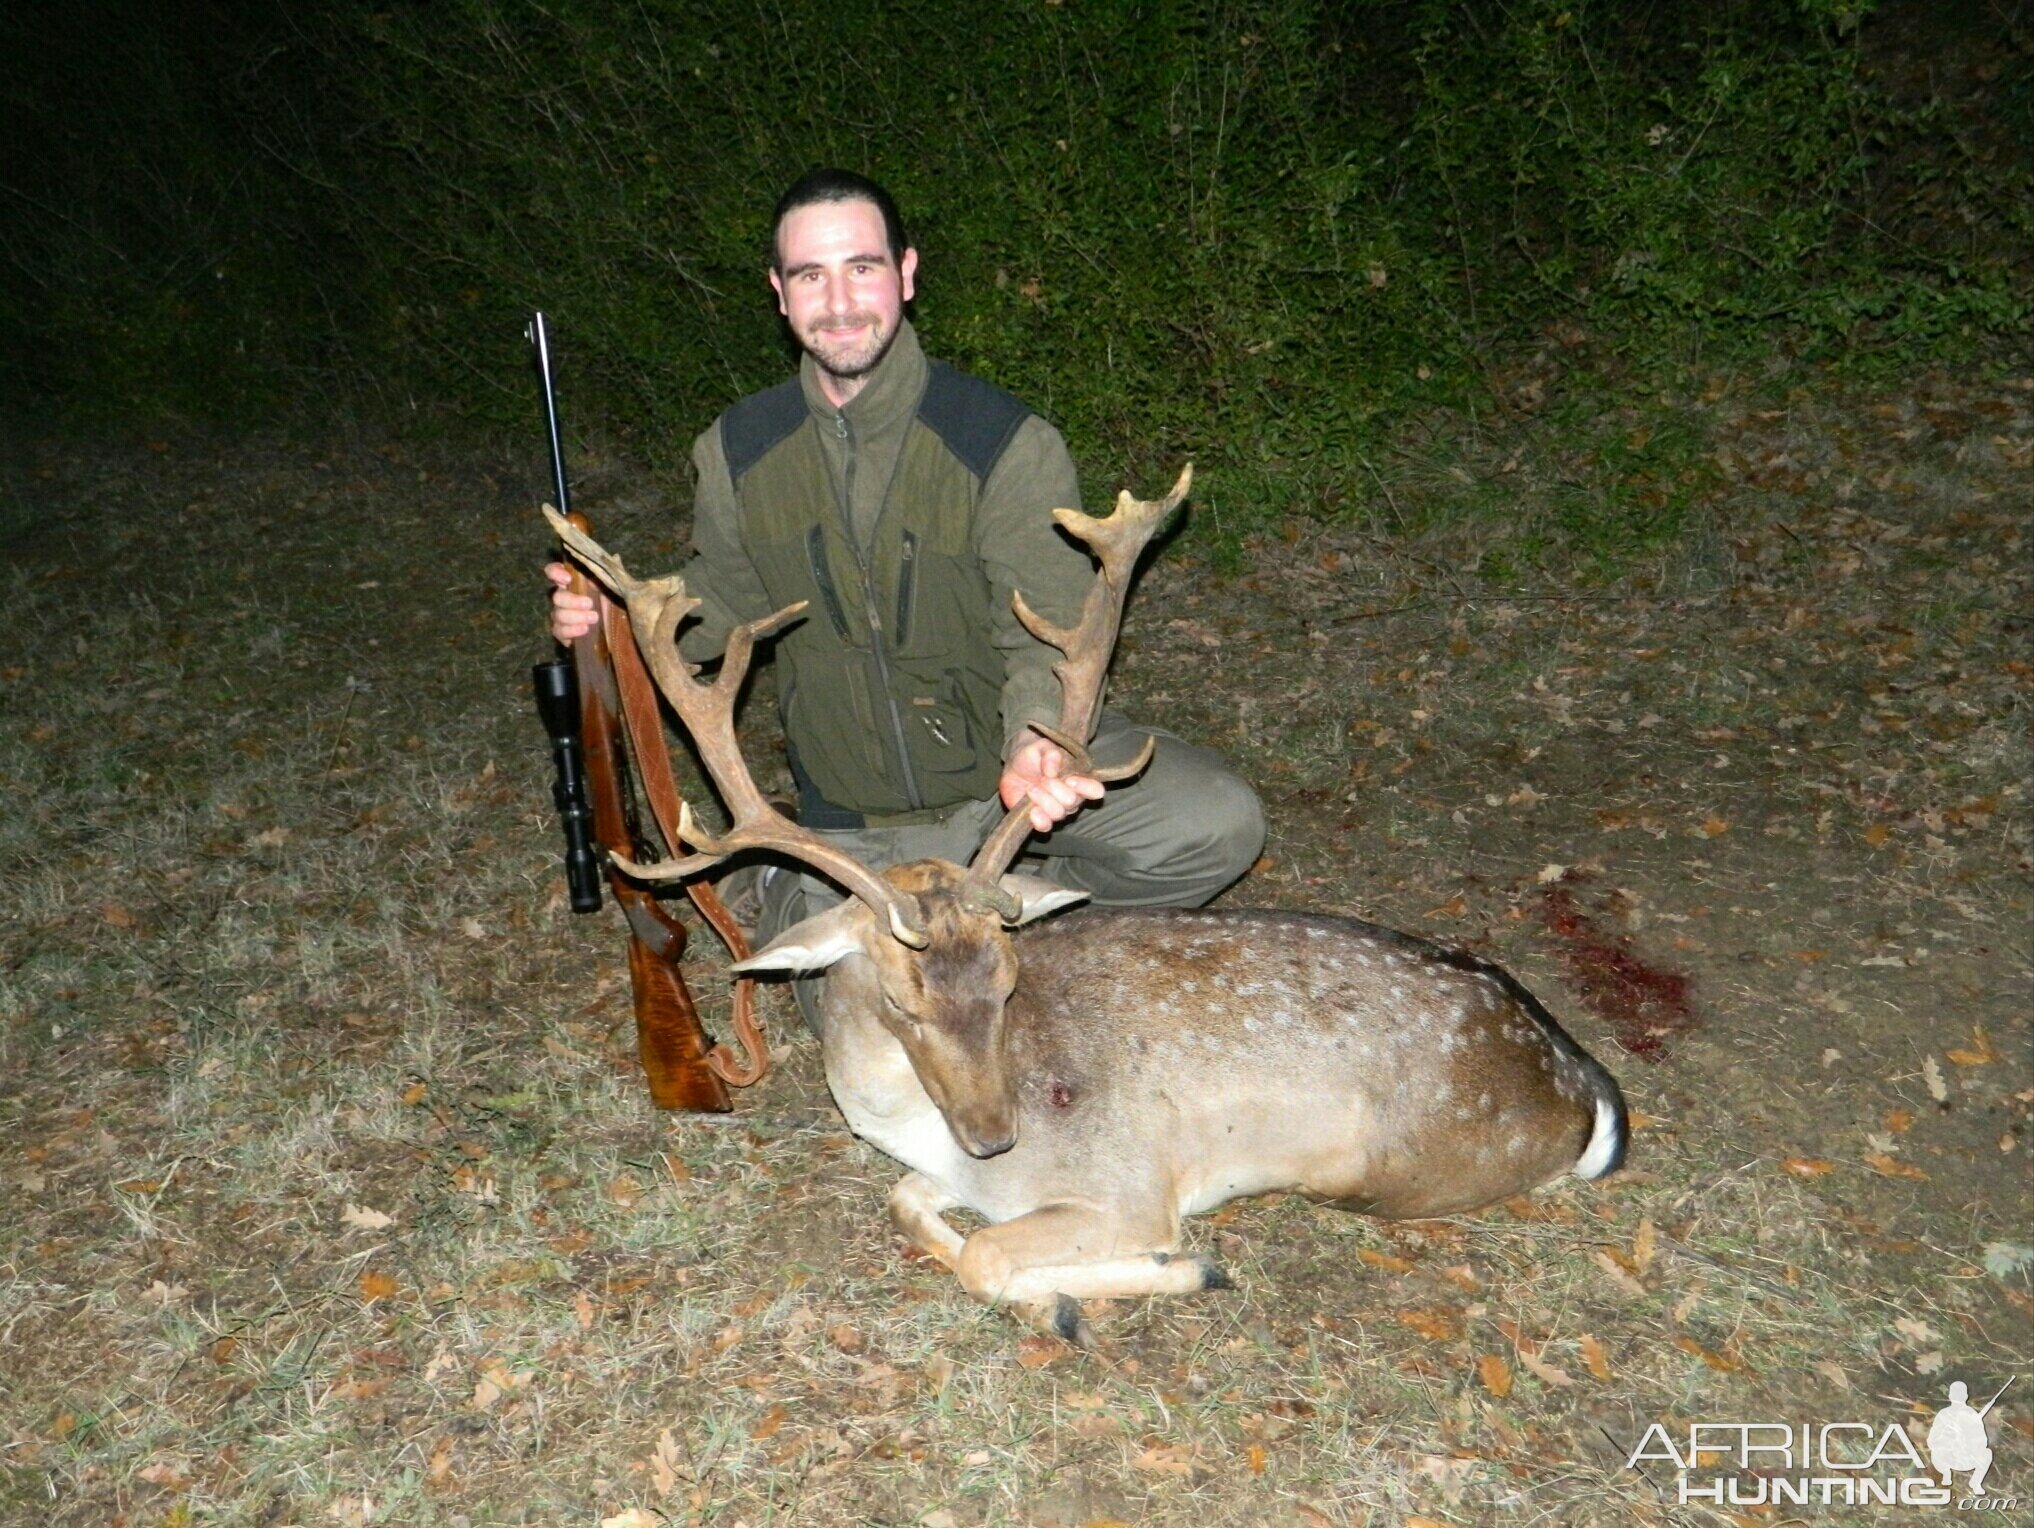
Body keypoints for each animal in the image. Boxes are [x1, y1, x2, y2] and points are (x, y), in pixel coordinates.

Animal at [541, 469, 1619, 1350]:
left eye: (1010, 977)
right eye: (902, 999)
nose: (994, 1135)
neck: (929, 1130)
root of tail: (1585, 1089)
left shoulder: (1126, 1180)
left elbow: (993, 1252)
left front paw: (1152, 1273)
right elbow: (908, 1206)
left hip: (1403, 1166)